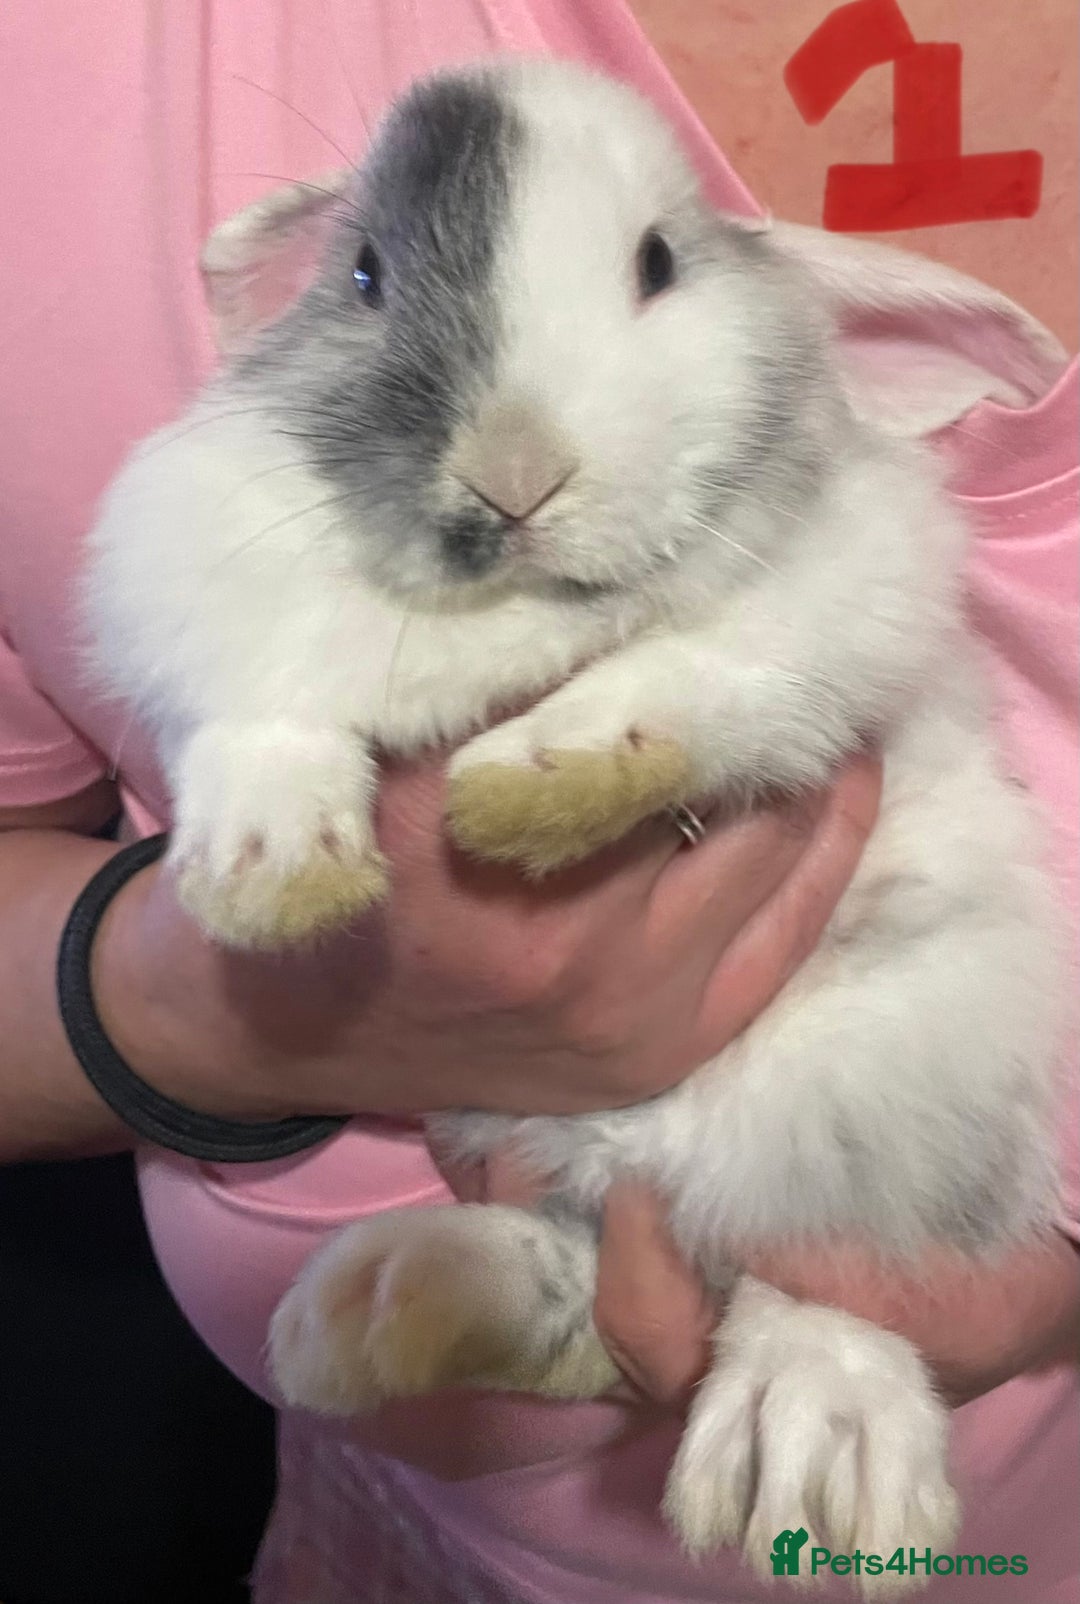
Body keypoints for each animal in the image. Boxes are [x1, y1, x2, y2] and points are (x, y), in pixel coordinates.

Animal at [83, 56, 1068, 1592]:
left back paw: (811, 1454)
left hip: (896, 1071)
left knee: (835, 1261)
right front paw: (270, 880)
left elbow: (680, 681)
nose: (515, 471)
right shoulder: (201, 586)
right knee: (583, 1300)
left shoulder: (828, 606)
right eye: (363, 273)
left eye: (658, 263)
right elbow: (262, 730)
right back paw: (386, 1305)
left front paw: (538, 783)